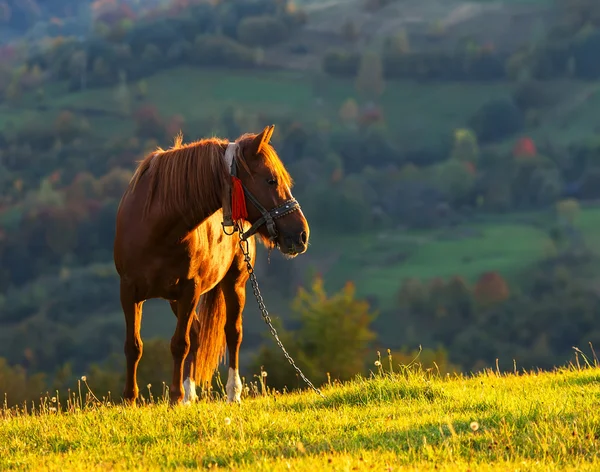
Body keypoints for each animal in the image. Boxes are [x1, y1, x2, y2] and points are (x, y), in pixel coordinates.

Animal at [113, 125, 310, 406]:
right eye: (271, 180)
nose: (302, 234)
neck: (156, 225)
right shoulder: (129, 291)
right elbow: (134, 345)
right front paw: (130, 400)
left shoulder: (189, 290)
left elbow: (179, 344)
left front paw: (175, 398)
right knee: (196, 333)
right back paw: (190, 394)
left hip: (235, 284)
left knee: (232, 333)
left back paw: (232, 392)